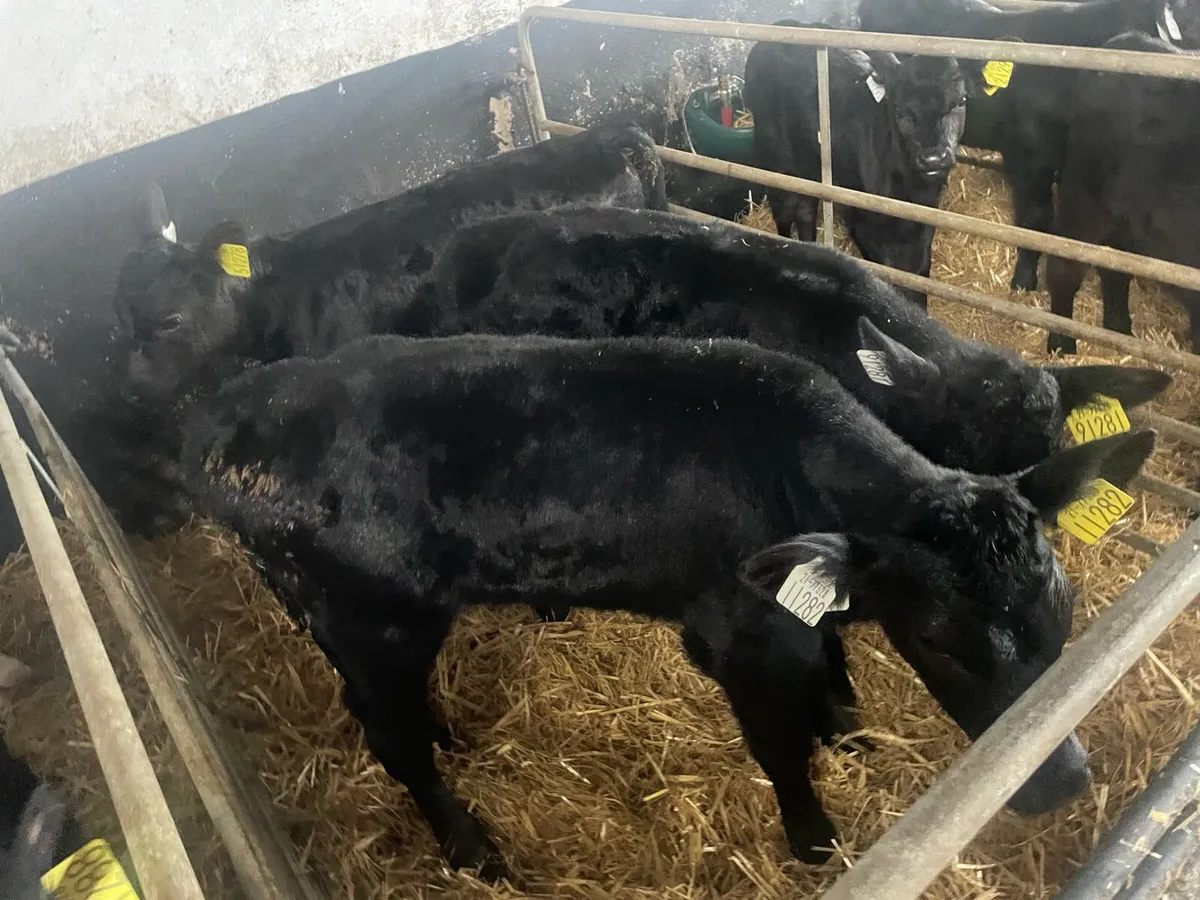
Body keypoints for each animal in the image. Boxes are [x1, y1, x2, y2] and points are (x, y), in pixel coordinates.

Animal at [180, 332, 1156, 878]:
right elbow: (780, 749)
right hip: (373, 615)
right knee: (387, 734)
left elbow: (828, 669)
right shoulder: (734, 637)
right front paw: (815, 841)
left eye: (1062, 622)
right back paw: (470, 845)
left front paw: (848, 727)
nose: (1064, 783)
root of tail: (227, 417)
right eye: (943, 642)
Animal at [743, 20, 985, 308]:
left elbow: (918, 271)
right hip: (775, 159)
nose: (933, 158)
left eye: (961, 101)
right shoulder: (863, 221)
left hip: (809, 168)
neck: (906, 191)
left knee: (805, 212)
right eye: (900, 110)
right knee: (782, 210)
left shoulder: (927, 216)